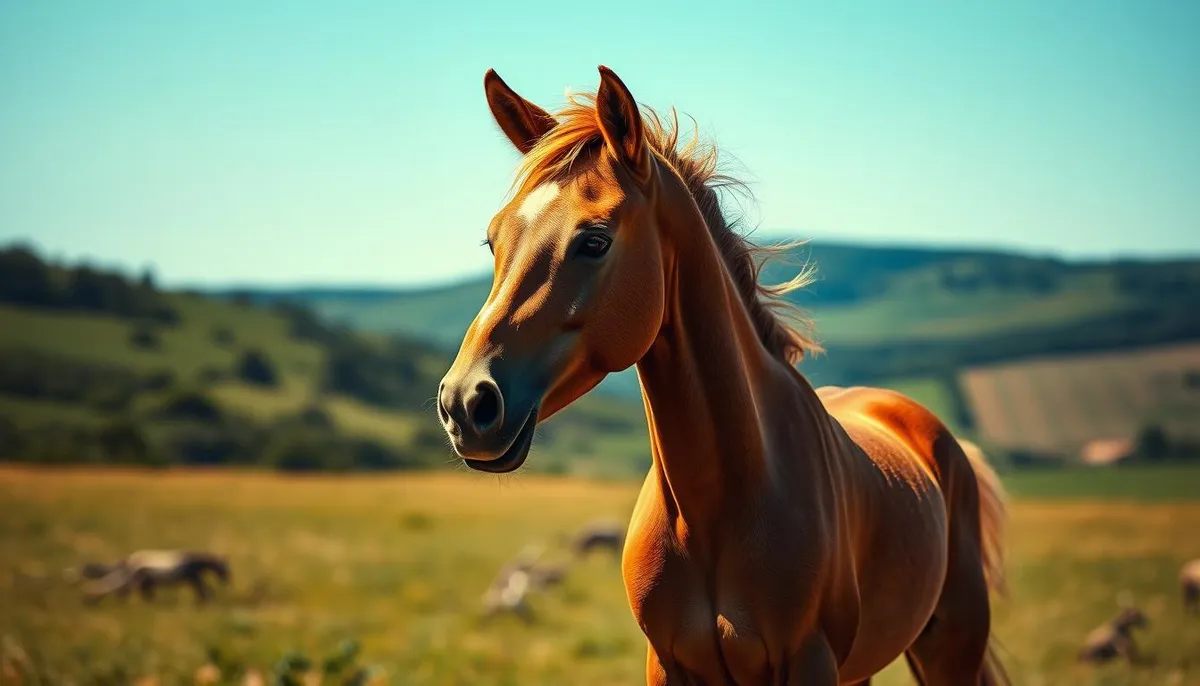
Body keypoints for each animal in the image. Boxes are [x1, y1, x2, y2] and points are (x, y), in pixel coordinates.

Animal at [436, 65, 1009, 685]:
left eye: (594, 240)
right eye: (494, 239)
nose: (464, 403)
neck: (717, 507)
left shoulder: (808, 662)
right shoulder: (666, 665)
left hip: (949, 648)